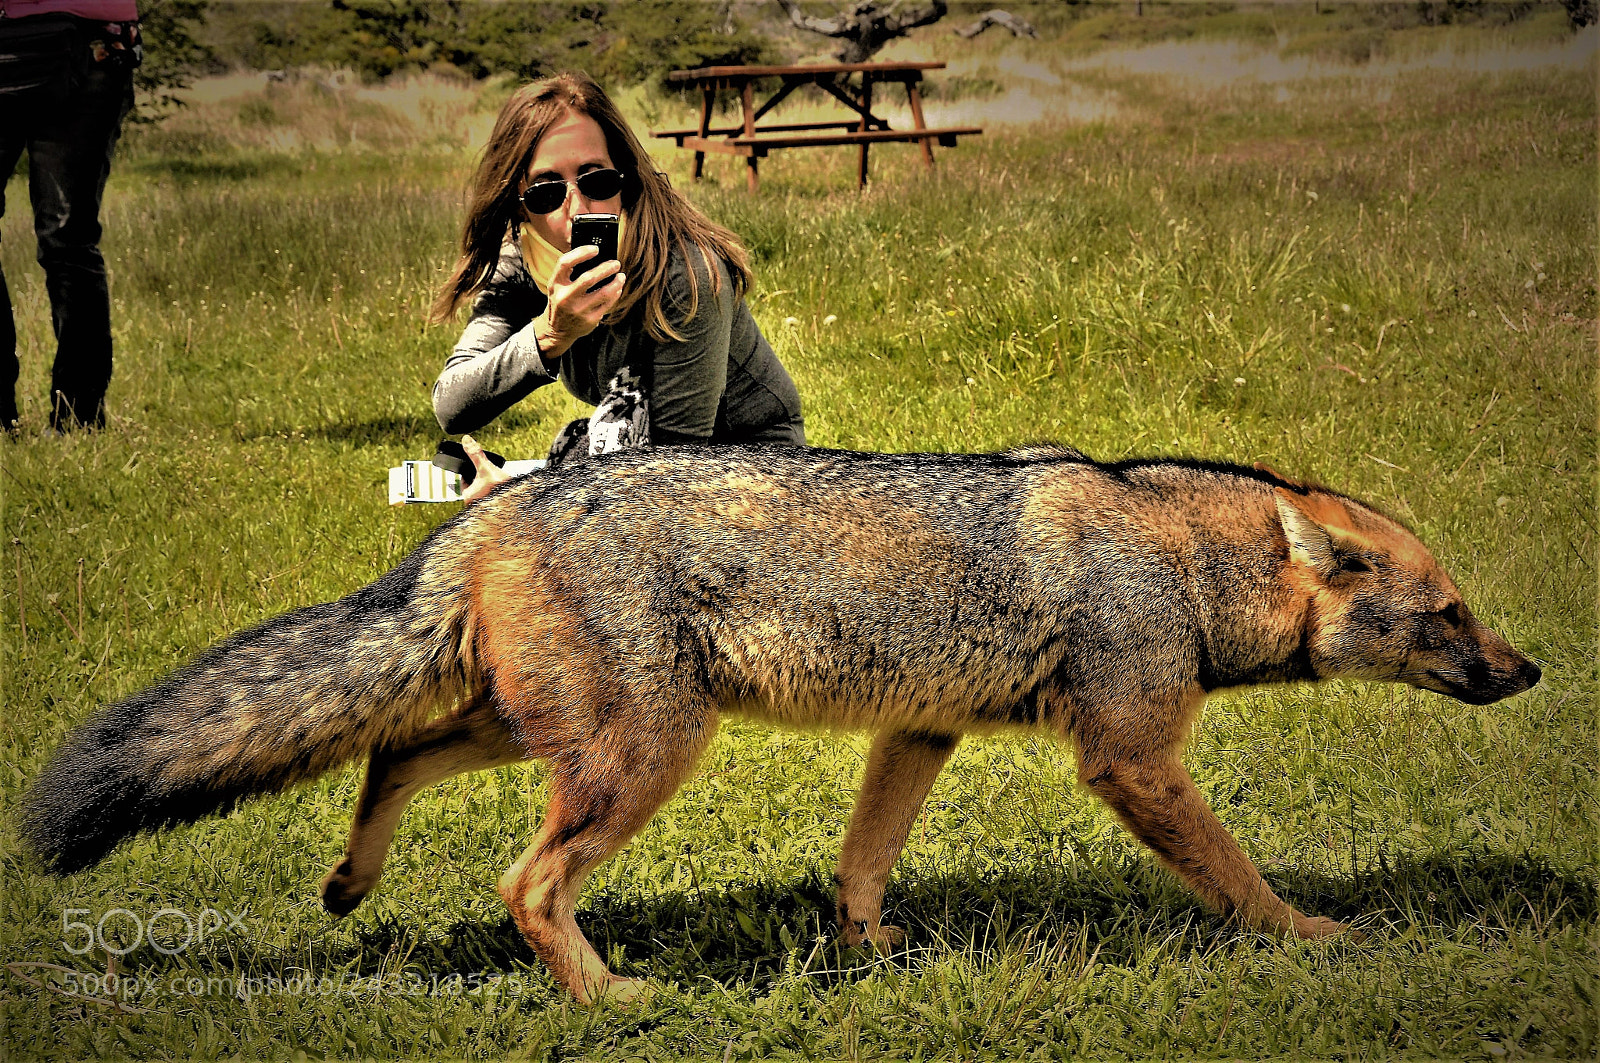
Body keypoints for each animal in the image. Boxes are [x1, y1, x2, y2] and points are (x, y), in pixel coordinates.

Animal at [21, 444, 1540, 1003]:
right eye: (1452, 612)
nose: (1528, 670)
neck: (1176, 561)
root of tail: (505, 500)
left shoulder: (920, 733)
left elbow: (865, 860)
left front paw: (869, 952)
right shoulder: (1131, 758)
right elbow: (1234, 871)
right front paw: (1308, 936)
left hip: (536, 732)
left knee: (391, 753)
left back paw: (351, 882)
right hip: (639, 756)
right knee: (526, 882)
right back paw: (609, 999)